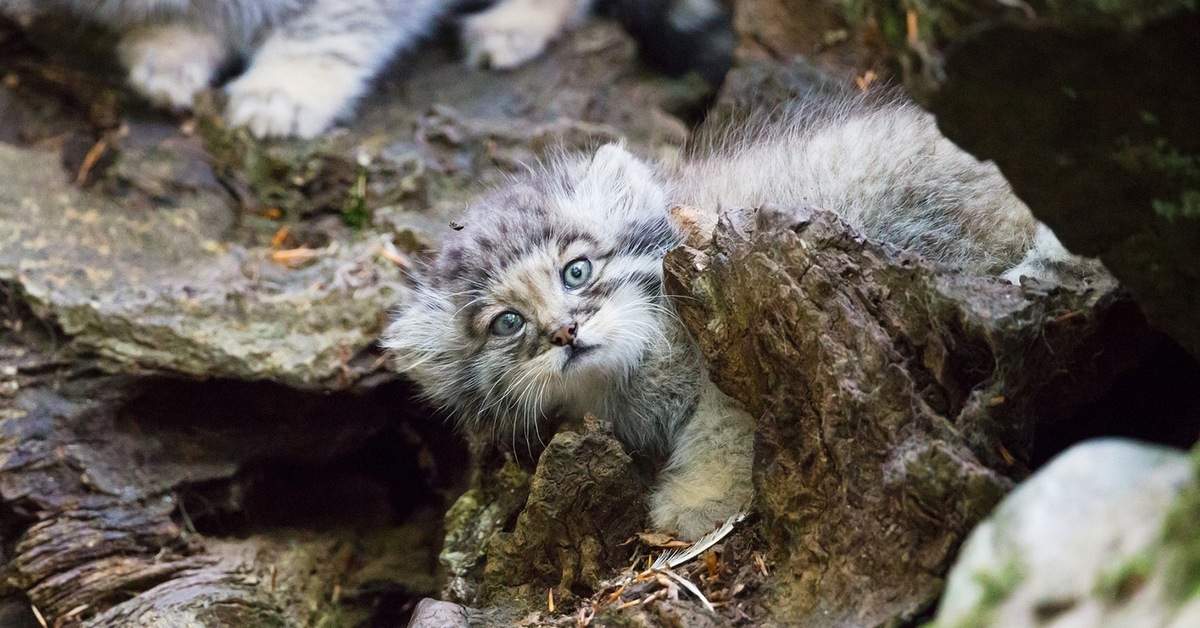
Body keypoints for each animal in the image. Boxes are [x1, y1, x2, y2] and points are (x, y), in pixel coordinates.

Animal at [384, 94, 1099, 540]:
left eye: (577, 271)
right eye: (506, 323)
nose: (565, 331)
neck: (634, 371)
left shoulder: (732, 357)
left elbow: (725, 428)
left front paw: (699, 501)